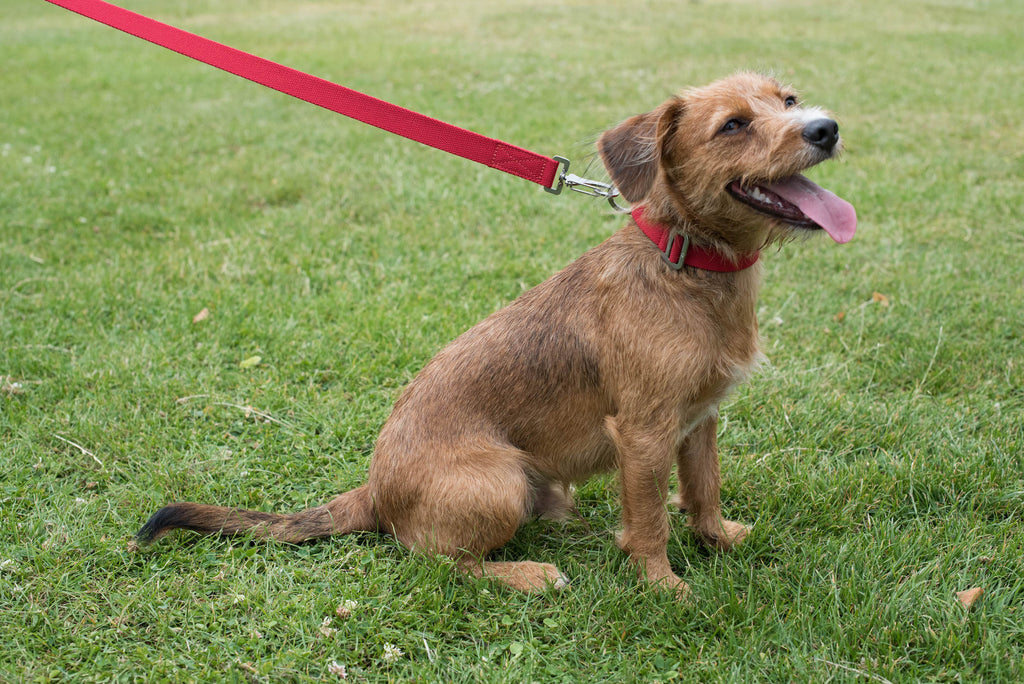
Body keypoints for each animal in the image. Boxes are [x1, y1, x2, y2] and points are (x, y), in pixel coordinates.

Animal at [136, 70, 856, 597]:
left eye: (788, 100)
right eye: (733, 124)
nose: (825, 128)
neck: (684, 265)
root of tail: (374, 492)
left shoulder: (698, 419)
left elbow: (703, 489)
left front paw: (718, 539)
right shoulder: (645, 432)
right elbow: (650, 520)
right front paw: (663, 586)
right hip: (501, 479)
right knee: (437, 561)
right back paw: (528, 573)